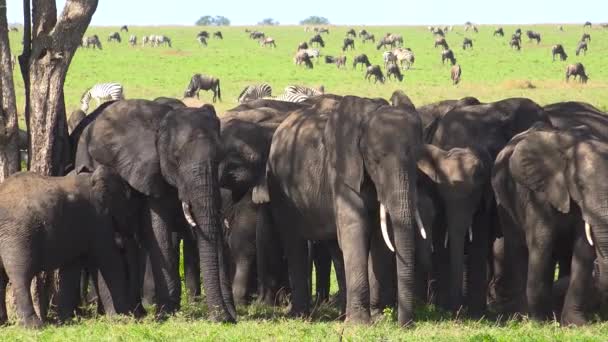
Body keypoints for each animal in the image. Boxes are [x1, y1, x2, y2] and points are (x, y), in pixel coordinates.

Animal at [0, 167, 132, 328]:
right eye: (128, 201)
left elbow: (73, 268)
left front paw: (66, 321)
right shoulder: (98, 219)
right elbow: (109, 262)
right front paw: (123, 320)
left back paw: (4, 323)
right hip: (17, 234)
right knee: (21, 275)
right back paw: (35, 327)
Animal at [74, 99, 238, 324]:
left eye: (220, 157)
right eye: (176, 158)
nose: (224, 319)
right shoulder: (149, 168)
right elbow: (158, 229)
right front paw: (167, 313)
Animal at [260, 95, 428, 326]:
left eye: (417, 158)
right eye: (375, 160)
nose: (406, 325)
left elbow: (379, 238)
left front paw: (375, 317)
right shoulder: (342, 170)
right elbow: (356, 227)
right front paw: (360, 324)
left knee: (336, 247)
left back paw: (342, 314)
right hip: (279, 186)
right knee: (294, 243)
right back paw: (301, 315)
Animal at [492, 123, 608, 326]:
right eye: (580, 185)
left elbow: (583, 248)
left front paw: (576, 324)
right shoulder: (537, 193)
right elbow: (541, 241)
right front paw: (540, 322)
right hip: (503, 199)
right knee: (517, 246)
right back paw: (523, 316)